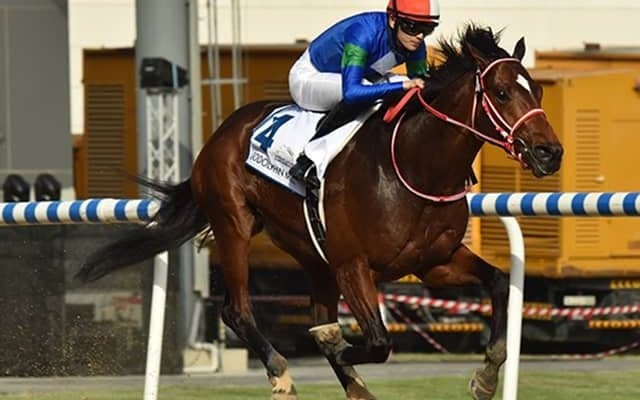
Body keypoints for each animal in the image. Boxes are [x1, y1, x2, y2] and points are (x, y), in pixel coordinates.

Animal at [77, 24, 563, 400]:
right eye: (502, 92)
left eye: (537, 89)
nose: (549, 152)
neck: (414, 165)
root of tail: (221, 132)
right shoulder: (353, 264)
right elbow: (377, 341)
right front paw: (339, 347)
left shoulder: (433, 262)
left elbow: (498, 283)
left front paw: (485, 378)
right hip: (234, 224)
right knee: (237, 310)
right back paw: (282, 373)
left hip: (312, 255)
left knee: (312, 313)